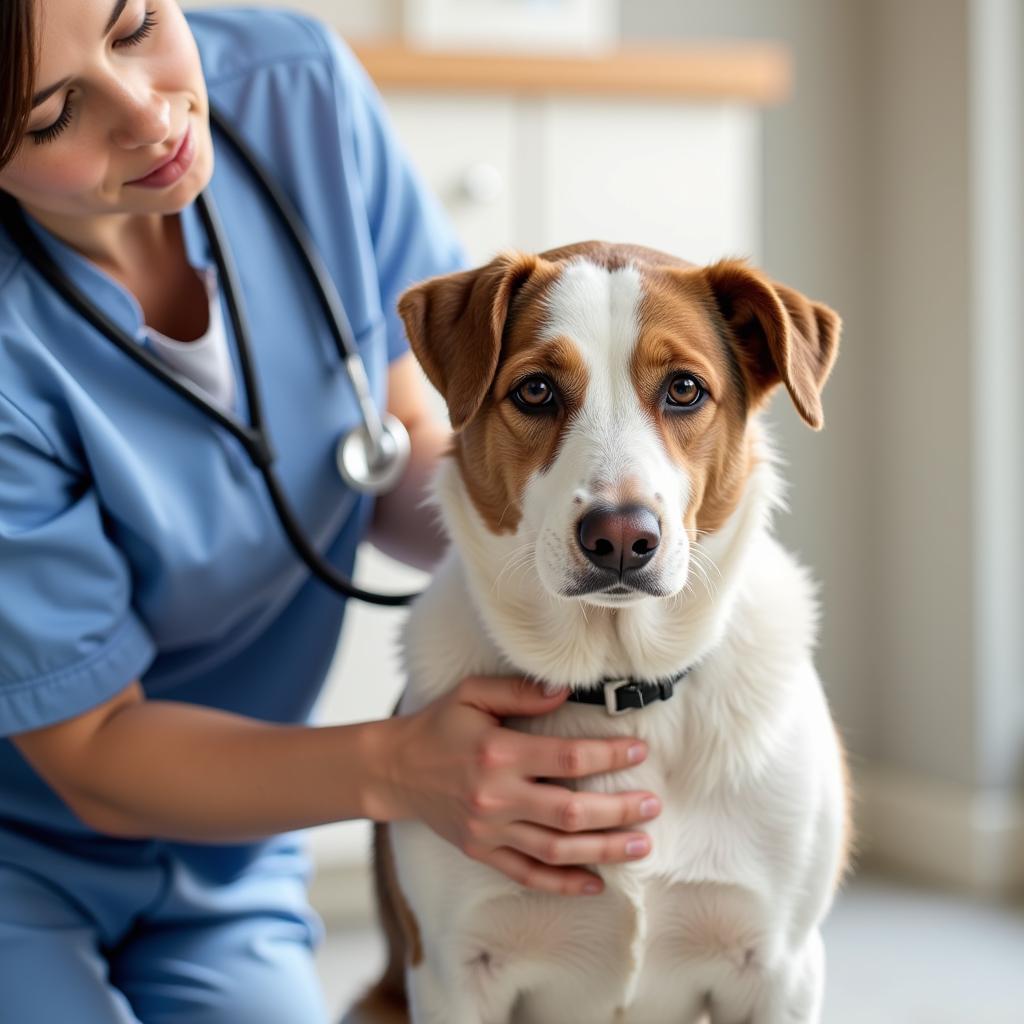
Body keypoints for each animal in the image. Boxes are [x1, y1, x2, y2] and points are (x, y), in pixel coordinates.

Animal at [350, 241, 847, 1024]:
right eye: (535, 391)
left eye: (683, 389)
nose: (620, 537)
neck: (620, 683)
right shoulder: (454, 972)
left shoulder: (781, 968)